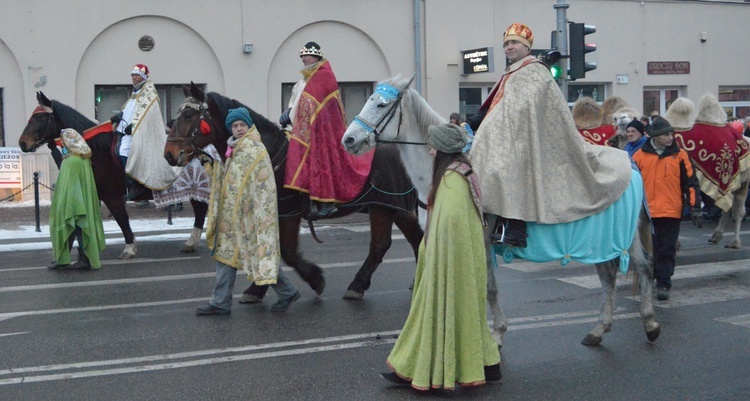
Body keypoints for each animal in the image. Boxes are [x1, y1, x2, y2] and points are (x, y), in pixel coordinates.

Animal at [20, 91, 209, 256]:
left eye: (39, 117)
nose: (22, 143)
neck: (95, 149)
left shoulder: (112, 196)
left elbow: (122, 220)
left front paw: (129, 248)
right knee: (200, 212)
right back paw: (191, 243)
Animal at [164, 83, 424, 298]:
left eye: (188, 115)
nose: (169, 154)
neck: (272, 153)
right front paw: (258, 289)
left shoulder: (288, 212)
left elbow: (287, 252)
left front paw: (314, 279)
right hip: (395, 208)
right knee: (415, 237)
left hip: (383, 207)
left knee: (381, 245)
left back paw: (358, 285)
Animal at [344, 76, 660, 346]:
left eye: (381, 104)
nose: (349, 140)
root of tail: (630, 162)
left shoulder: (482, 239)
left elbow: (489, 288)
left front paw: (496, 335)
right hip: (600, 239)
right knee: (608, 277)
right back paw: (599, 329)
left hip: (627, 235)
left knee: (644, 268)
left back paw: (650, 323)